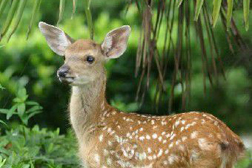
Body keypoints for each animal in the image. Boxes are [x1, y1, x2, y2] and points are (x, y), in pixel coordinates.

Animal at [38, 21, 245, 167]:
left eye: (90, 58)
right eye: (65, 56)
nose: (62, 72)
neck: (92, 129)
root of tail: (230, 139)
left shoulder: (105, 162)